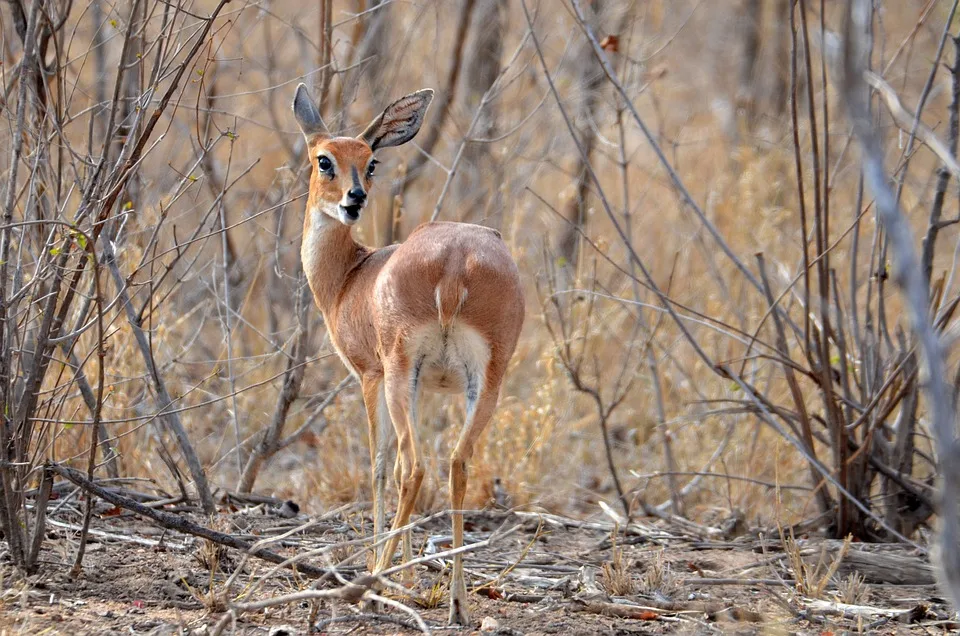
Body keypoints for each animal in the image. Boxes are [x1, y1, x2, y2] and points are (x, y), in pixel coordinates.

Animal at [294, 84, 524, 628]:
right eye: (324, 159)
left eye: (370, 161)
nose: (355, 198)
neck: (350, 279)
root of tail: (457, 262)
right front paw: (414, 576)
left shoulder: (370, 375)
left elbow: (378, 466)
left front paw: (394, 572)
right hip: (485, 380)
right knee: (457, 464)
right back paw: (458, 602)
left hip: (402, 371)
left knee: (412, 467)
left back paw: (371, 581)